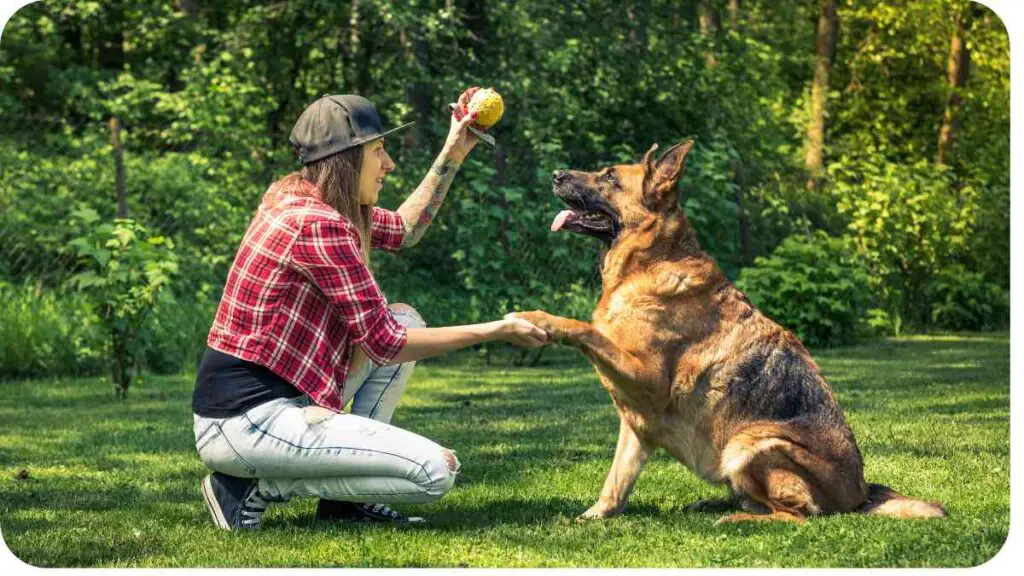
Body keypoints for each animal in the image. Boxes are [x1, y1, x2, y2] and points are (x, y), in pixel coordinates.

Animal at [516, 141, 946, 522]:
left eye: (608, 176)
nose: (556, 174)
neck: (649, 262)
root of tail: (860, 495)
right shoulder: (636, 424)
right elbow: (616, 481)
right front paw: (596, 515)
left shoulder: (647, 379)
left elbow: (586, 330)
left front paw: (542, 319)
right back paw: (717, 504)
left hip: (750, 444)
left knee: (795, 515)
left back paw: (736, 518)